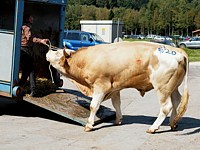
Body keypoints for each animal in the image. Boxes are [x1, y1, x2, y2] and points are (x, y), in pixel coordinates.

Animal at [46, 41, 188, 134]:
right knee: (176, 101)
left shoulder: (100, 86)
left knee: (166, 107)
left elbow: (93, 106)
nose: (48, 50)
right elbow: (116, 104)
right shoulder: (114, 88)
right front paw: (118, 120)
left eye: (58, 54)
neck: (87, 60)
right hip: (172, 87)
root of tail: (179, 52)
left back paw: (153, 128)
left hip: (162, 87)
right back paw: (173, 123)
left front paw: (89, 125)